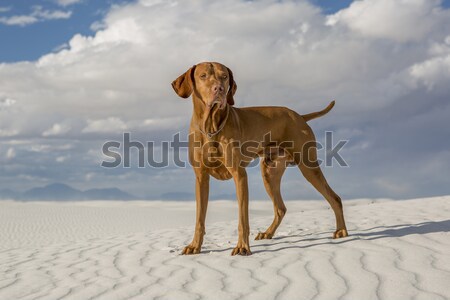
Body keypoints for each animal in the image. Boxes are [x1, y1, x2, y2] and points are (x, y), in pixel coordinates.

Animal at [171, 61, 348, 255]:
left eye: (224, 76)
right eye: (203, 76)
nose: (219, 89)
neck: (211, 126)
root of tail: (299, 116)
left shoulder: (239, 175)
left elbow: (243, 219)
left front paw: (242, 247)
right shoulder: (201, 178)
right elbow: (199, 219)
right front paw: (195, 245)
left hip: (308, 166)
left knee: (335, 198)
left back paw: (341, 231)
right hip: (269, 173)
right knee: (280, 208)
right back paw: (268, 233)